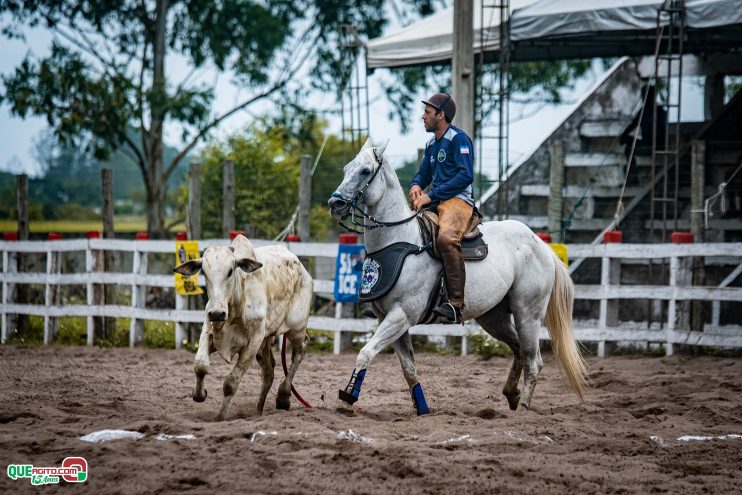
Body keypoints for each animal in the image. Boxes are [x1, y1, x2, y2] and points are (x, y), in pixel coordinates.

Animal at [175, 234, 314, 420]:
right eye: (204, 272)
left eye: (230, 271)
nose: (217, 314)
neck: (236, 303)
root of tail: (302, 269)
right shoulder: (209, 330)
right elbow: (201, 366)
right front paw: (200, 394)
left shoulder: (254, 341)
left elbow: (231, 382)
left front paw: (220, 417)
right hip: (266, 340)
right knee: (268, 372)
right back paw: (258, 411)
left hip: (295, 328)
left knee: (301, 349)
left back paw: (283, 397)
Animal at [328, 138, 588, 416]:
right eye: (346, 169)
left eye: (365, 171)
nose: (335, 204)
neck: (400, 240)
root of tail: (541, 245)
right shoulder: (387, 318)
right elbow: (409, 369)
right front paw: (422, 409)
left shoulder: (401, 315)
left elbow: (365, 353)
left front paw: (348, 396)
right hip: (494, 317)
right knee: (518, 349)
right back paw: (511, 394)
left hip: (527, 313)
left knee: (533, 360)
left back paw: (523, 408)